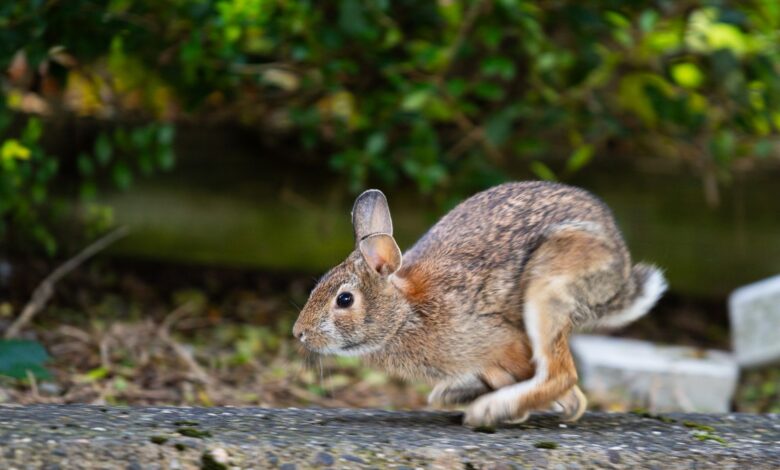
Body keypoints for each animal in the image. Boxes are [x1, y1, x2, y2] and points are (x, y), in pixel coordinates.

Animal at [293, 181, 667, 427]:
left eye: (344, 299)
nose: (299, 333)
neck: (404, 314)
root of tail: (619, 265)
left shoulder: (502, 342)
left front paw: (504, 411)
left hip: (548, 288)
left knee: (562, 375)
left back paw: (487, 410)